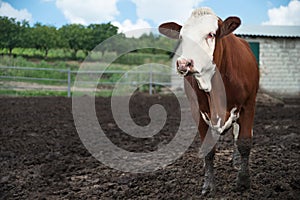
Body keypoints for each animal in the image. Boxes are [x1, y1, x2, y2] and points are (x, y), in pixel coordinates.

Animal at [158, 7, 258, 195]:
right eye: (182, 37)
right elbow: (208, 150)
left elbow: (244, 142)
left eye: (211, 34)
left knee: (236, 133)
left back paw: (236, 162)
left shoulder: (248, 105)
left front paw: (243, 181)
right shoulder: (198, 112)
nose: (184, 63)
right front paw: (209, 185)